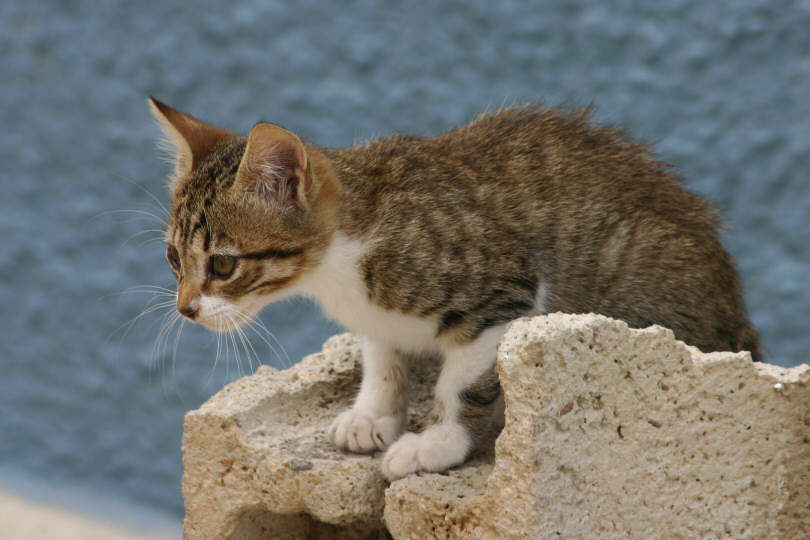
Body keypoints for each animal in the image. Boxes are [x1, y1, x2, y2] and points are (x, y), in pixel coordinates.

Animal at [149, 98, 761, 480]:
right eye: (174, 258)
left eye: (223, 264)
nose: (186, 309)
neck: (343, 261)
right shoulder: (378, 316)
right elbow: (383, 356)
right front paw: (373, 413)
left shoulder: (504, 291)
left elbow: (462, 382)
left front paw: (436, 443)